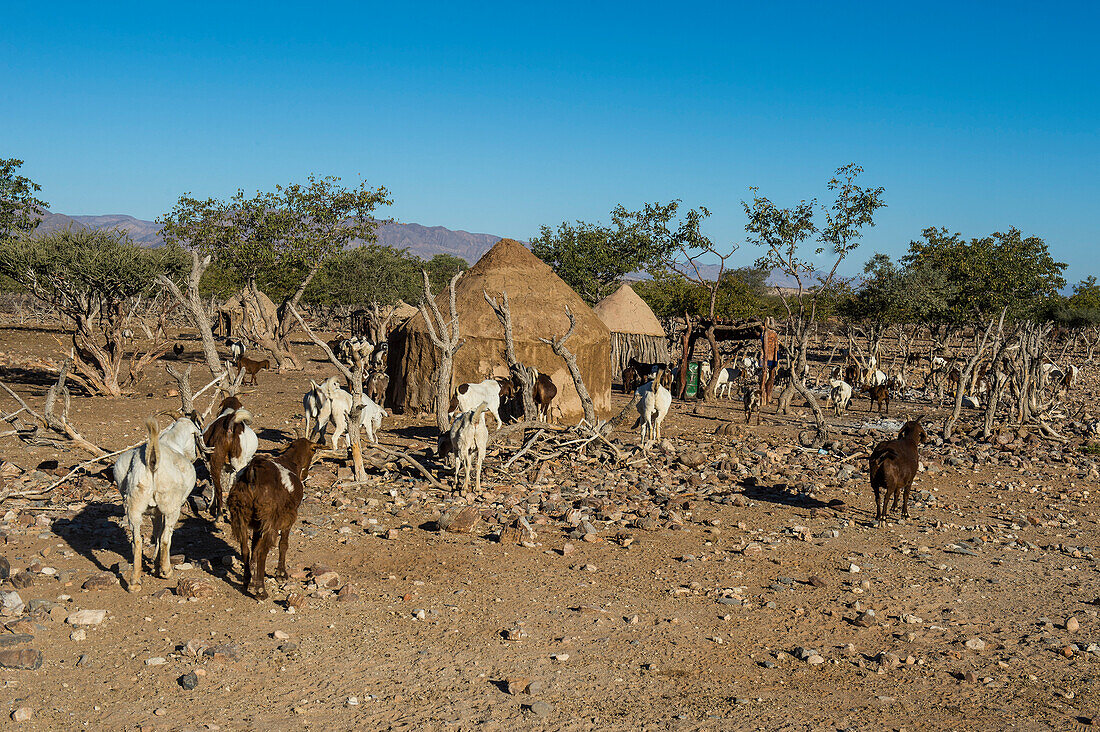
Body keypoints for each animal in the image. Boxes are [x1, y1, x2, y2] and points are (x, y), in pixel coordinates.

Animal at [112, 413, 205, 590]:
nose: (194, 456)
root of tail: (152, 461)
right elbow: (161, 535)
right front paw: (159, 567)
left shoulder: (154, 510)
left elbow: (155, 532)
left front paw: (154, 565)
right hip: (171, 506)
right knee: (166, 538)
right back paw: (166, 571)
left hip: (133, 505)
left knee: (137, 540)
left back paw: (134, 583)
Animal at [227, 435, 321, 598]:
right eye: (313, 450)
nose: (305, 475)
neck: (290, 462)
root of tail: (252, 473)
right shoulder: (288, 516)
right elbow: (283, 544)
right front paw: (281, 574)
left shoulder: (257, 523)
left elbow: (254, 545)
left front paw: (253, 577)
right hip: (270, 517)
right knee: (263, 551)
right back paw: (261, 591)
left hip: (240, 513)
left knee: (245, 548)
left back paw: (247, 581)